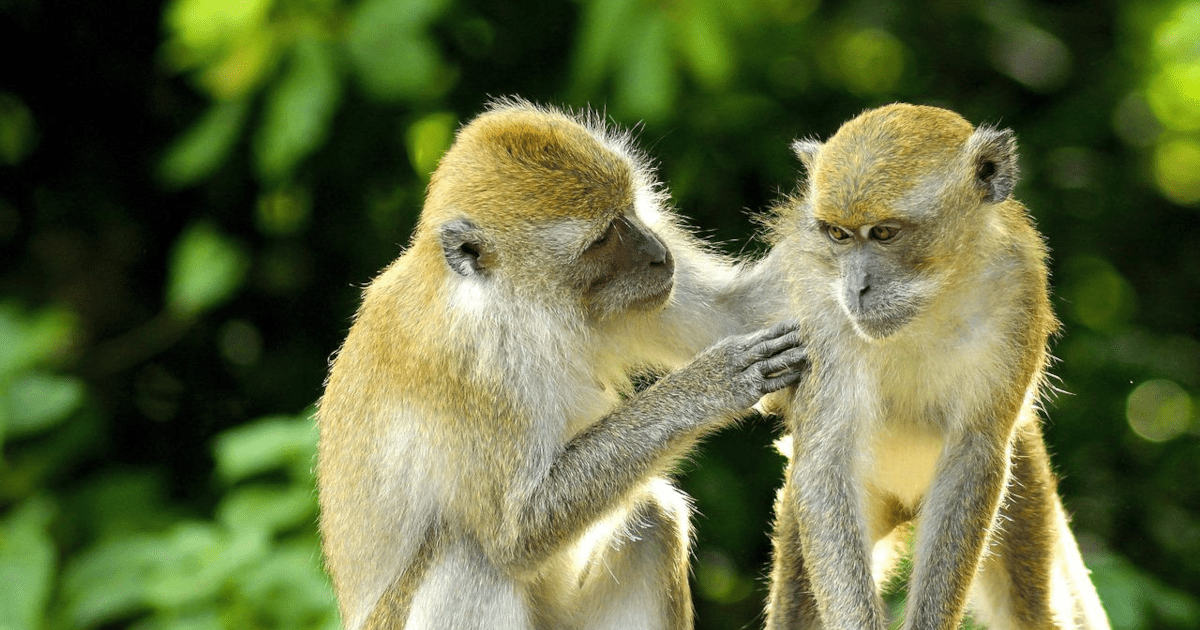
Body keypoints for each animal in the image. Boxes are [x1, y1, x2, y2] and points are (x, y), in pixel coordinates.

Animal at [316, 98, 806, 628]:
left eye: (629, 211)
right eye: (603, 238)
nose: (659, 254)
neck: (516, 304)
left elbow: (735, 312)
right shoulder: (469, 367)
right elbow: (516, 534)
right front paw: (711, 384)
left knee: (651, 517)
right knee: (470, 555)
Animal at [753, 104, 1108, 628]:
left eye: (883, 233)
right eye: (838, 235)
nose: (856, 288)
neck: (934, 297)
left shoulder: (1018, 290)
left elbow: (973, 455)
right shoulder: (819, 305)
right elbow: (824, 460)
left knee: (1034, 607)